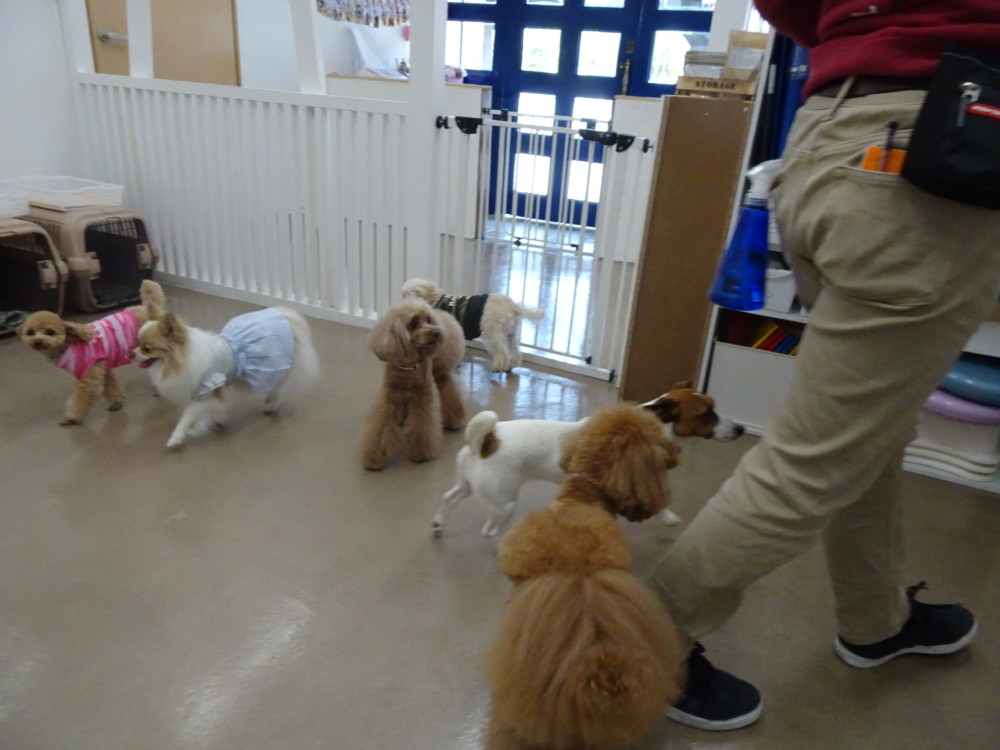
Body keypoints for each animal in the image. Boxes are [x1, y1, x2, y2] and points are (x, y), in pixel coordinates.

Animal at [18, 280, 166, 425]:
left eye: (50, 332)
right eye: (30, 332)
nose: (37, 341)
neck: (68, 344)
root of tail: (148, 310)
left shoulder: (89, 378)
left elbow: (80, 399)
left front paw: (71, 418)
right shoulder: (103, 370)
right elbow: (111, 387)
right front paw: (117, 401)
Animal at [134, 306, 320, 449]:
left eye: (147, 349)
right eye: (137, 344)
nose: (132, 353)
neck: (177, 361)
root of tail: (285, 317)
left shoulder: (206, 390)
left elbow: (187, 417)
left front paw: (180, 436)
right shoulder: (206, 392)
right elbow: (210, 411)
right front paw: (211, 422)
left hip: (271, 368)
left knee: (278, 388)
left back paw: (271, 405)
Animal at [359, 297, 466, 470]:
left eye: (428, 320)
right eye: (414, 323)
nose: (438, 333)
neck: (408, 366)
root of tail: (445, 314)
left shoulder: (422, 396)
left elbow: (422, 425)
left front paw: (421, 452)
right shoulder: (390, 396)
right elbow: (381, 426)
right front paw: (374, 457)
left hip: (440, 372)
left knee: (449, 392)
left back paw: (455, 419)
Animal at [400, 277, 543, 373]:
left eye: (406, 295)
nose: (400, 303)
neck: (435, 299)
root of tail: (511, 305)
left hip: (493, 332)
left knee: (502, 352)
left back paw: (499, 367)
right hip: (510, 333)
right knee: (514, 350)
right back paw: (512, 364)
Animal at [432, 382, 744, 537]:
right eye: (706, 414)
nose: (740, 429)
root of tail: (486, 442)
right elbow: (657, 502)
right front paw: (667, 517)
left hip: (469, 485)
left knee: (449, 497)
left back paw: (439, 523)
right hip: (502, 495)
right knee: (493, 521)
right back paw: (497, 528)